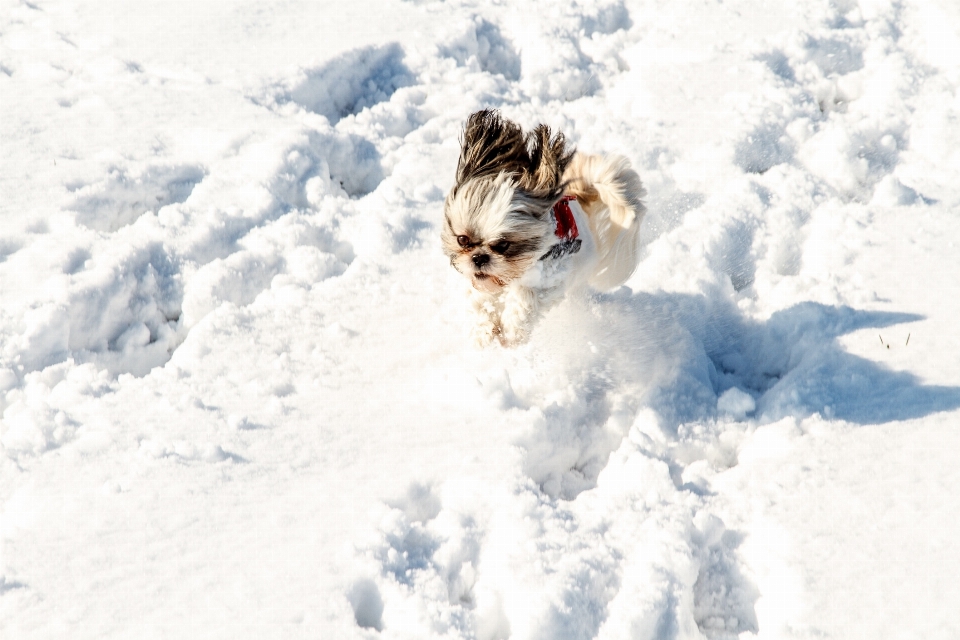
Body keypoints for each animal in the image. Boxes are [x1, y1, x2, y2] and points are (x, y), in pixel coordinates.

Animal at [442, 112, 644, 348]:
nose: (479, 258)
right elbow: (480, 302)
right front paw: (485, 333)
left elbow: (526, 298)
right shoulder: (479, 284)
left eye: (503, 245)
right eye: (462, 239)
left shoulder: (551, 281)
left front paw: (512, 334)